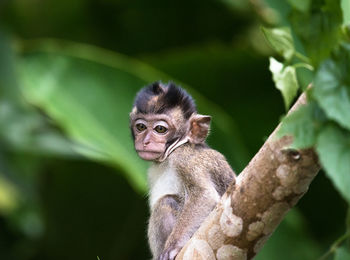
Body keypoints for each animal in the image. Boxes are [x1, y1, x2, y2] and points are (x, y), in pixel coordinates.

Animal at [130, 82, 237, 260]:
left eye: (160, 129)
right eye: (141, 127)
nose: (145, 141)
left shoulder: (184, 159)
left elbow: (204, 196)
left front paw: (173, 247)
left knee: (166, 202)